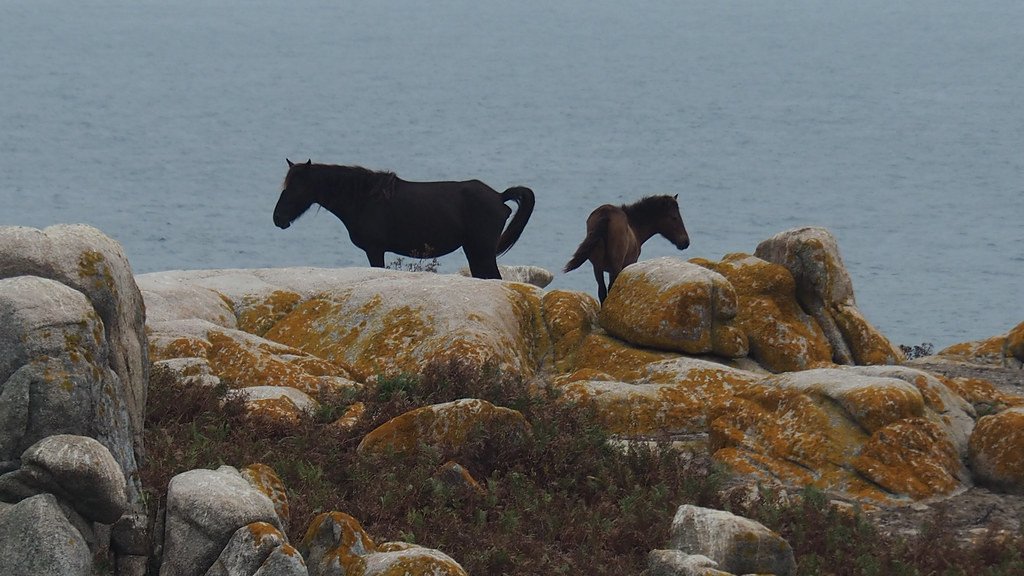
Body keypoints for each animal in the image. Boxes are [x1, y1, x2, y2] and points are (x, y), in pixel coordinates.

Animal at [276, 158, 540, 278]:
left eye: (297, 187)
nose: (278, 218)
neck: (364, 199)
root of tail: (499, 196)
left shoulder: (375, 249)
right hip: (475, 251)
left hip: (482, 250)